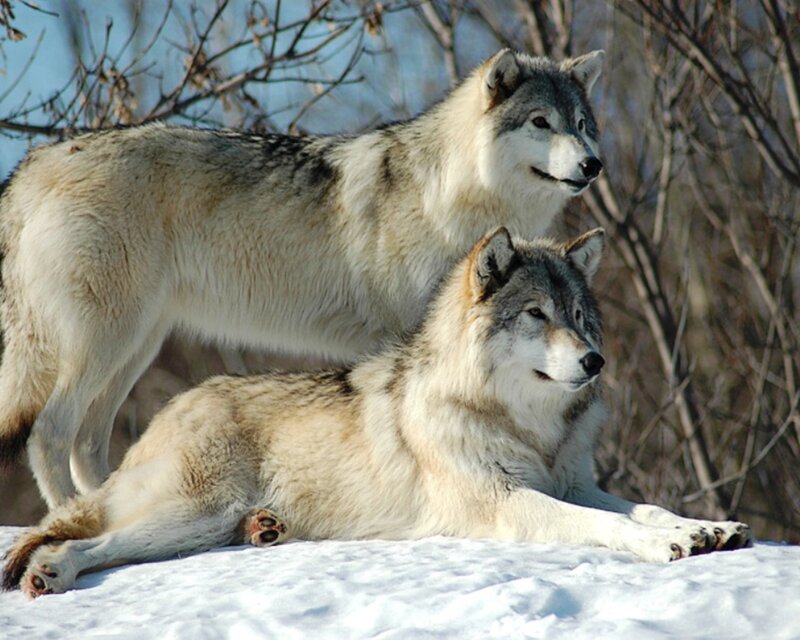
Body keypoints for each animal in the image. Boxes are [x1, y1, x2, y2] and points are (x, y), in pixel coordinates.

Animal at [0, 49, 606, 508]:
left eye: (581, 125)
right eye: (540, 122)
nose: (593, 164)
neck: (453, 195)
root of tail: (34, 163)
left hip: (134, 348)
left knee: (86, 443)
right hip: (104, 344)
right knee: (48, 434)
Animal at [1, 227, 752, 598]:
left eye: (577, 315)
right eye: (536, 315)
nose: (594, 362)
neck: (525, 425)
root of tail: (171, 406)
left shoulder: (571, 482)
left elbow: (645, 506)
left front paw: (707, 528)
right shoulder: (509, 502)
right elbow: (606, 525)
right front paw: (665, 546)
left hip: (197, 524)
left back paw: (263, 531)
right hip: (186, 510)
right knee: (85, 541)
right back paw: (51, 575)